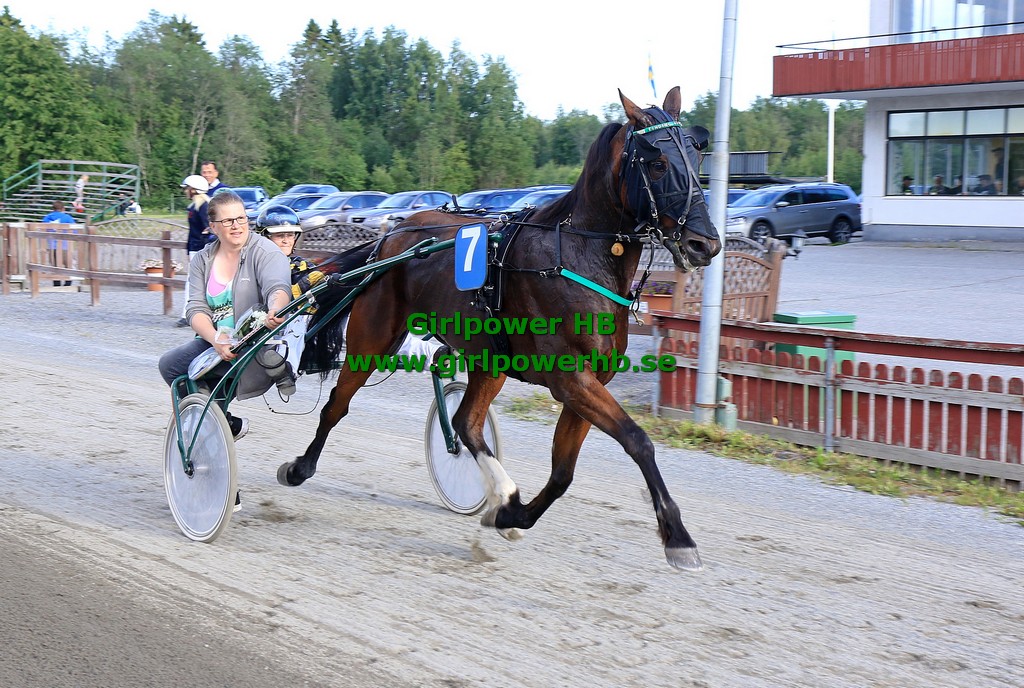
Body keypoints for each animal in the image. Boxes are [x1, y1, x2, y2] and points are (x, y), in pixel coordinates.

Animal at [281, 86, 722, 571]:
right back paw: (299, 467)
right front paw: (678, 536)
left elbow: (563, 472)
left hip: (488, 360)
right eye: (658, 164)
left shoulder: (590, 381)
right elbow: (638, 440)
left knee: (465, 423)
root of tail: (393, 235)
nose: (705, 243)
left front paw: (511, 514)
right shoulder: (572, 380)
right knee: (337, 406)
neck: (576, 256)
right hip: (372, 338)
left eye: (696, 159)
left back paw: (501, 493)